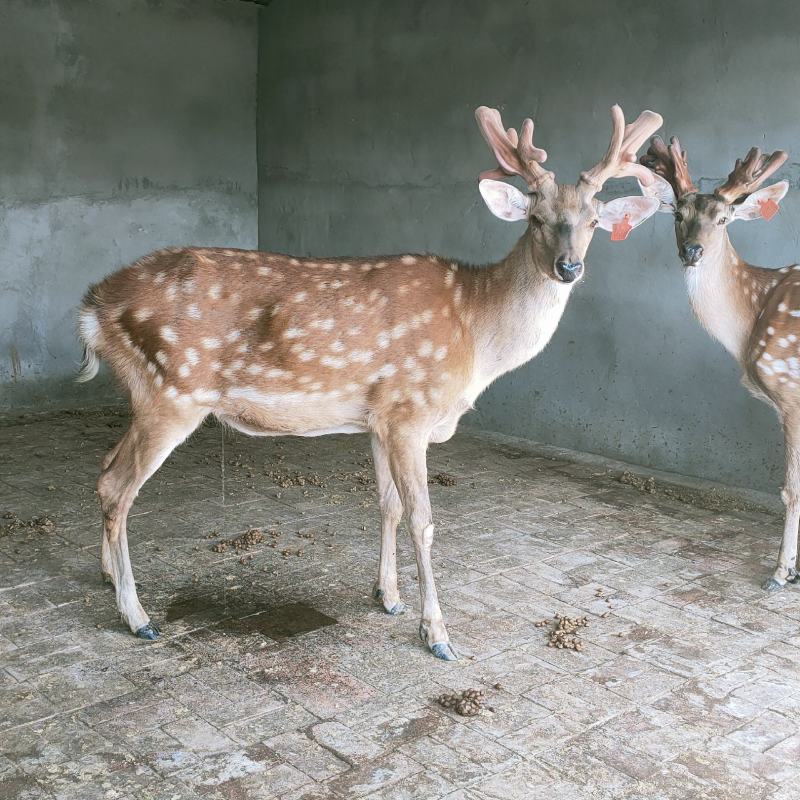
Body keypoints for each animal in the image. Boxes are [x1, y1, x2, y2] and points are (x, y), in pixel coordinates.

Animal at [75, 104, 663, 660]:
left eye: (593, 221)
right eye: (537, 218)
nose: (569, 268)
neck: (475, 333)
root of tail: (92, 309)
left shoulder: (380, 418)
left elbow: (388, 505)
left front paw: (388, 596)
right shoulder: (411, 411)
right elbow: (423, 519)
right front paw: (437, 634)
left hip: (146, 393)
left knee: (103, 466)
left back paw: (107, 577)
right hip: (172, 390)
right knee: (118, 485)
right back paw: (137, 616)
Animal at [638, 136, 797, 591]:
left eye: (724, 219)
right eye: (678, 214)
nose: (693, 250)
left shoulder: (789, 389)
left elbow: (791, 488)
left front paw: (780, 573)